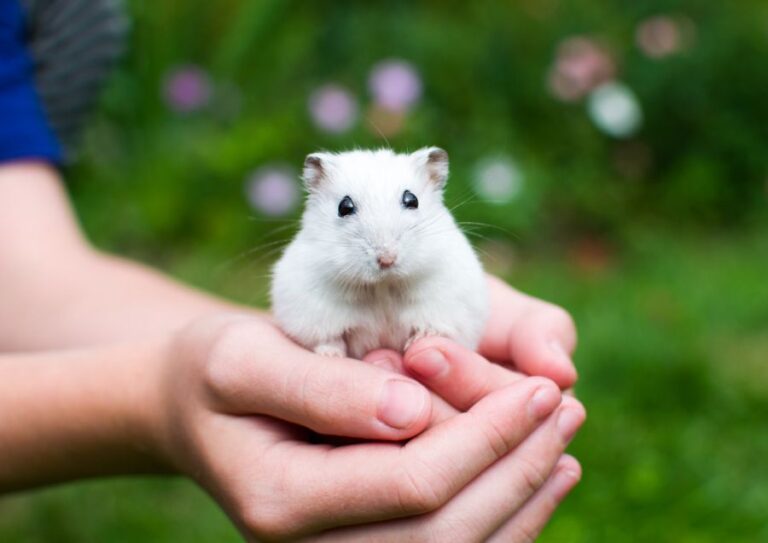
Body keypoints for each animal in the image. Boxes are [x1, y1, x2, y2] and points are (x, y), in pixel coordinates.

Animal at [270, 147, 489, 359]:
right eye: (344, 206)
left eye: (412, 200)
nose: (387, 260)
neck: (383, 285)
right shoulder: (312, 313)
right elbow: (328, 338)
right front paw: (331, 355)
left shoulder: (448, 306)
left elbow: (434, 327)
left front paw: (419, 339)